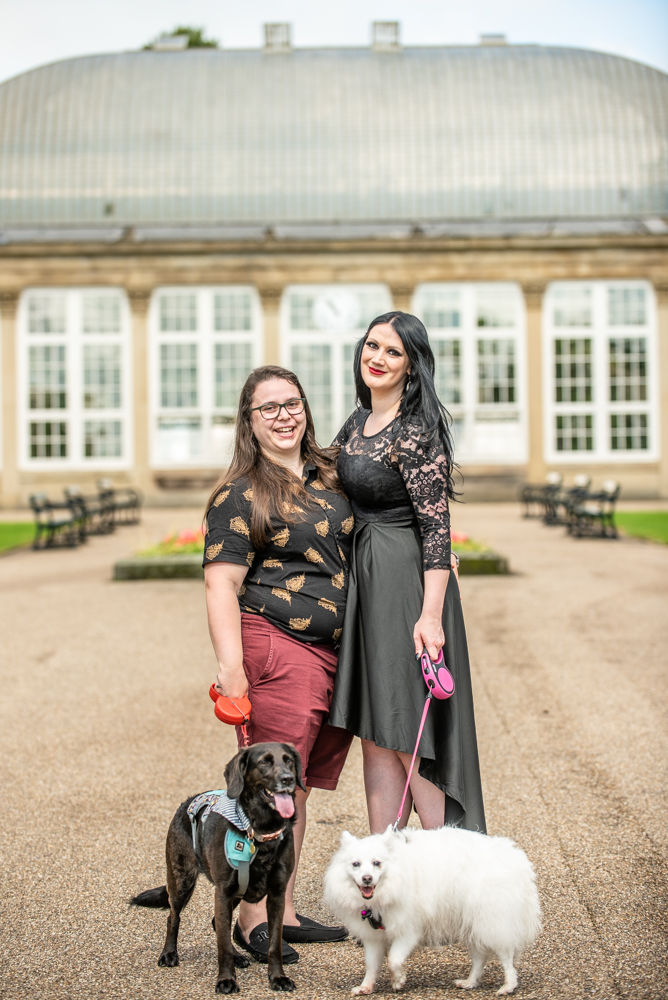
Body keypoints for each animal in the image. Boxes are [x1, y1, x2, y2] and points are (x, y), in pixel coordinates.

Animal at [131, 742, 305, 994]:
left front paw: (278, 978)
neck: (261, 830)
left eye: (288, 760)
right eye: (264, 762)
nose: (288, 778)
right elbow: (222, 944)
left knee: (215, 922)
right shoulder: (223, 892)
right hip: (182, 881)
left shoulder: (276, 895)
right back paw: (169, 954)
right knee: (173, 917)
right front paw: (226, 980)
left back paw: (239, 956)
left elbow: (275, 944)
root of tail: (187, 802)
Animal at [324, 826, 541, 997]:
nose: (367, 878)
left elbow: (394, 959)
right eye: (356, 864)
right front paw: (366, 987)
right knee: (479, 957)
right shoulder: (373, 937)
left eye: (377, 863)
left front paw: (398, 980)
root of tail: (512, 855)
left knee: (506, 956)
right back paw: (470, 982)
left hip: (490, 920)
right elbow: (371, 965)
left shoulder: (408, 930)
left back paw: (508, 986)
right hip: (472, 921)